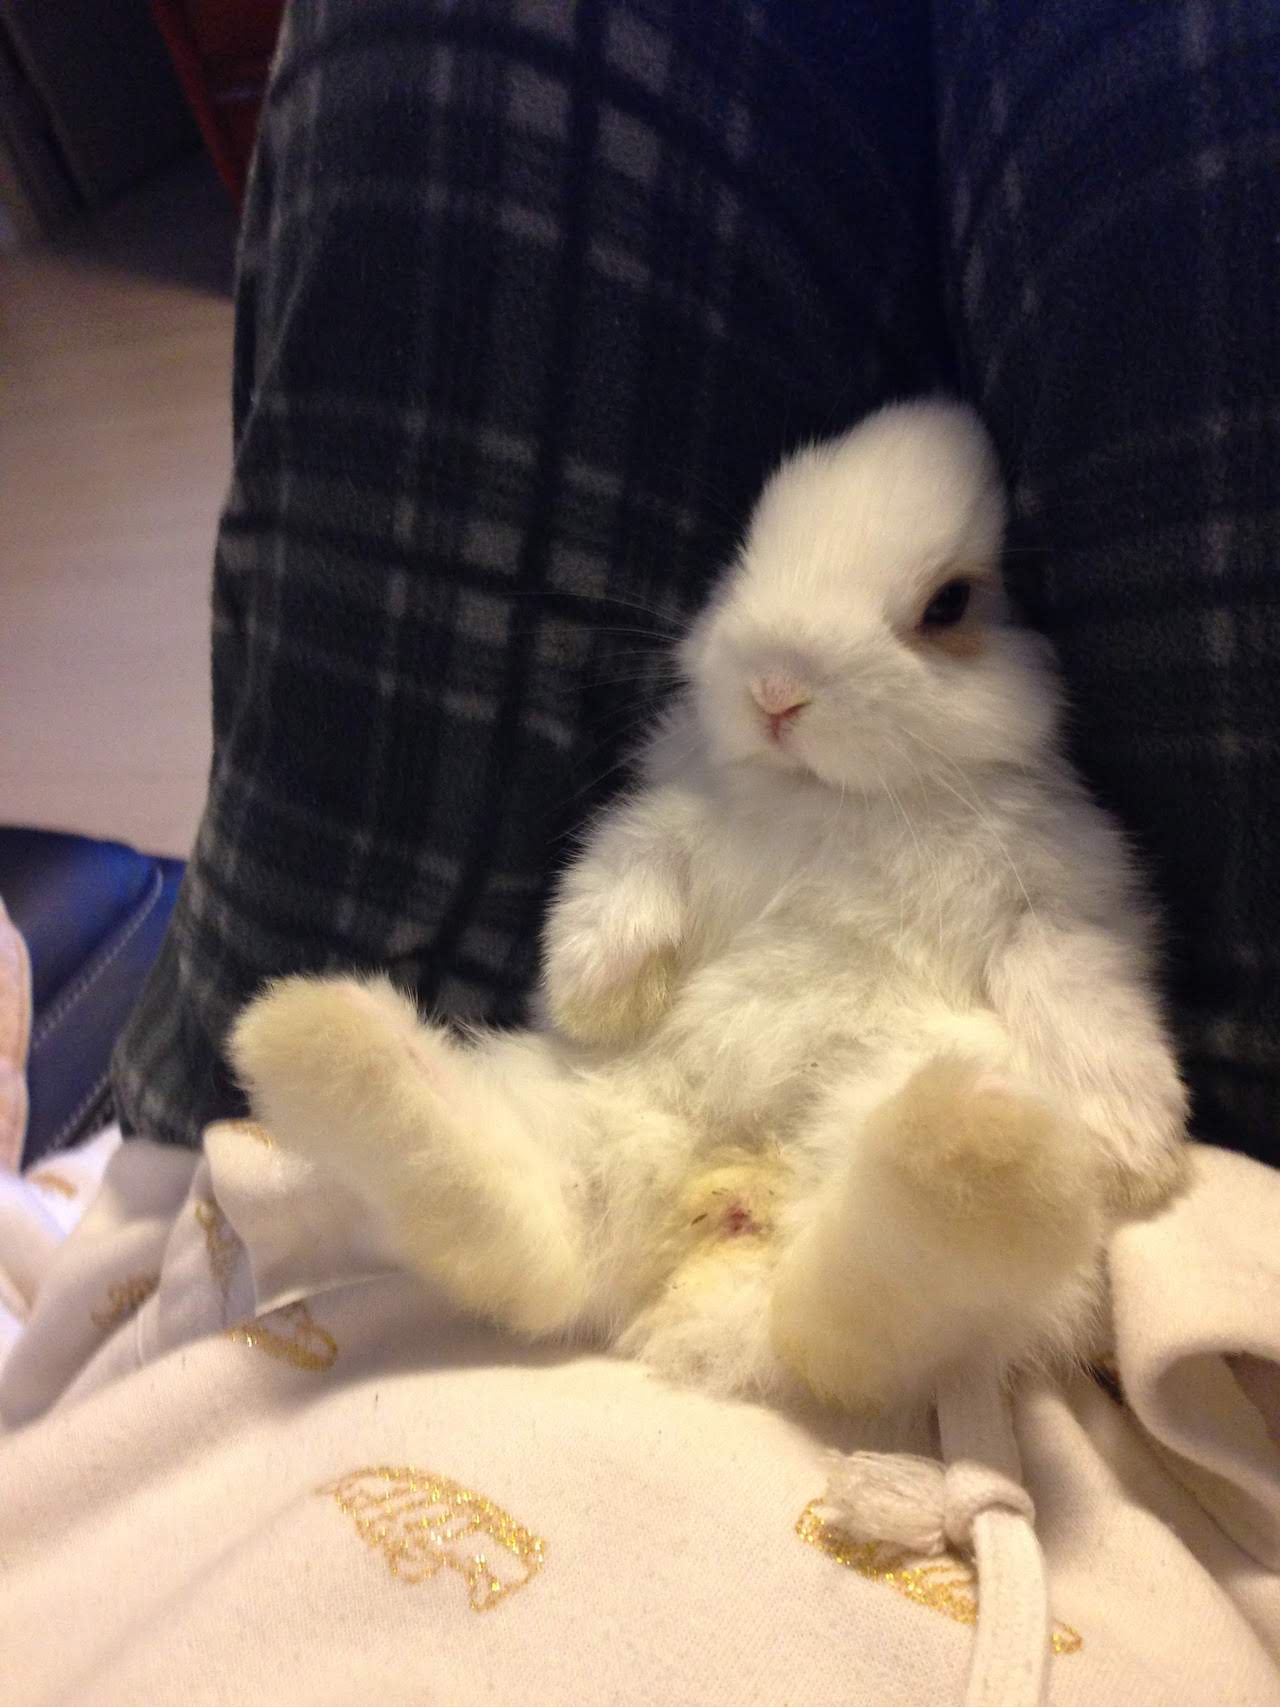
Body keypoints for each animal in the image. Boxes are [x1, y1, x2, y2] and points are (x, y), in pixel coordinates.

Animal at [230, 399, 1189, 1416]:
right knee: (536, 1246)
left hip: (935, 1150)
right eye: (746, 551)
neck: (831, 799)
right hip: (581, 1114)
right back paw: (320, 1039)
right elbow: (624, 872)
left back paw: (970, 1146)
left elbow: (1079, 984)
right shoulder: (665, 823)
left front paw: (1141, 1149)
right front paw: (591, 990)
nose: (775, 689)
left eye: (949, 605)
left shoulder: (1058, 892)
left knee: (857, 1328)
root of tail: (709, 1273)